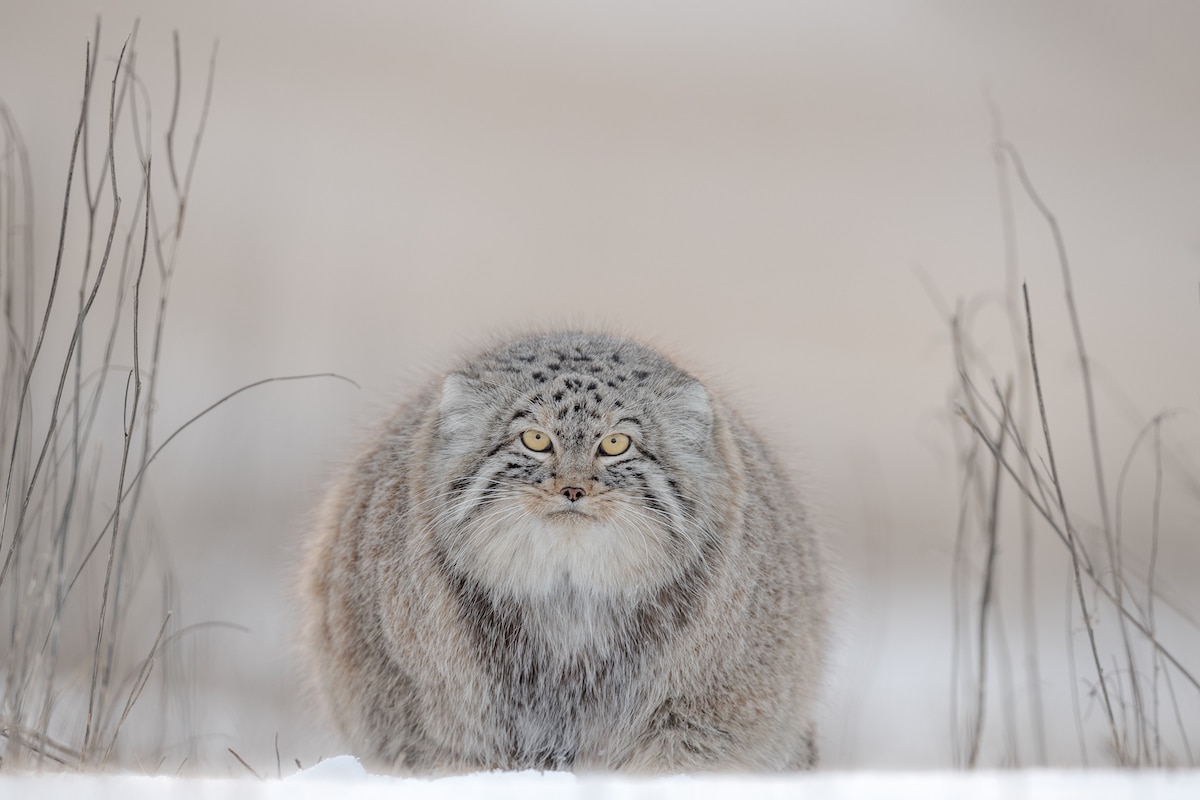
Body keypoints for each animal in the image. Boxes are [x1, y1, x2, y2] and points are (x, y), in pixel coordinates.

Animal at [300, 333, 825, 777]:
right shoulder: (429, 716)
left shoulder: (702, 712)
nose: (573, 489)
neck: (569, 600)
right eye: (535, 439)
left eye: (615, 443)